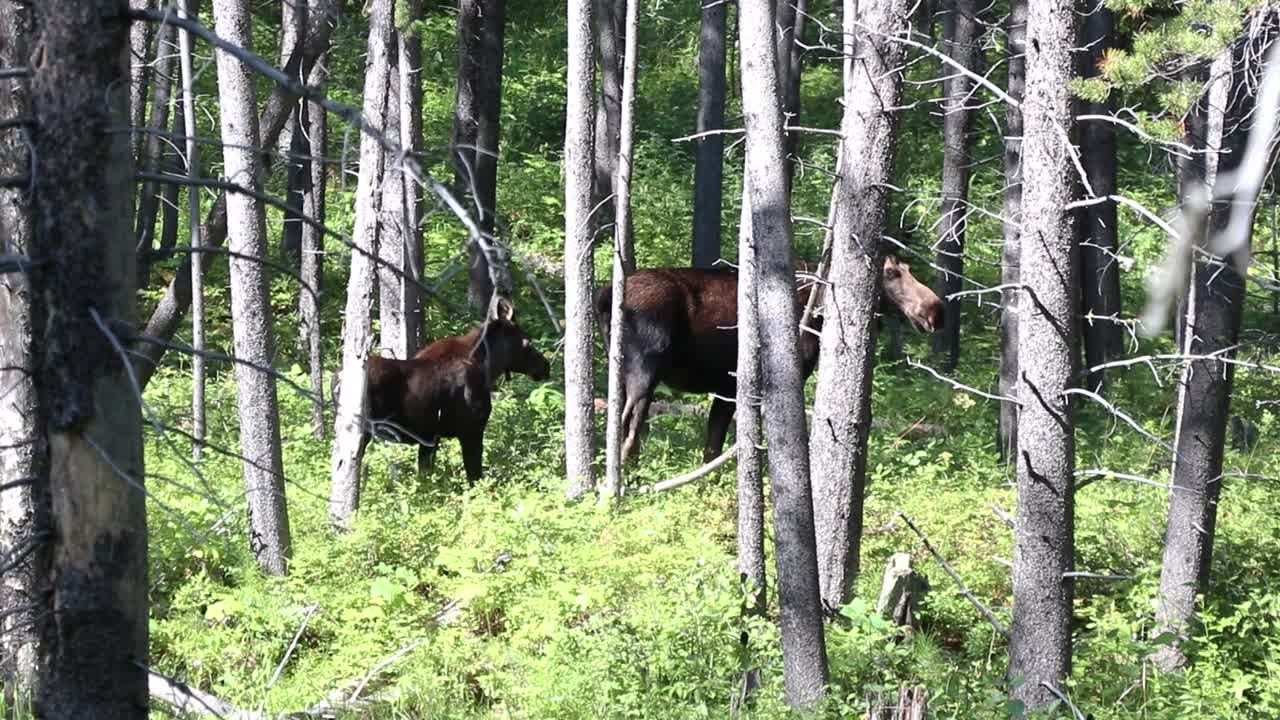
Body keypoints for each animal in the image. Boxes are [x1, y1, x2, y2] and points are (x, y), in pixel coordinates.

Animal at [359, 298, 551, 483]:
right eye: (527, 343)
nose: (545, 366)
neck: (488, 368)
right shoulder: (471, 429)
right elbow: (475, 478)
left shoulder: (430, 438)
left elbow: (424, 476)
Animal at [594, 254, 944, 464]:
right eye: (891, 272)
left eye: (908, 268)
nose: (934, 310)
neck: (817, 314)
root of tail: (603, 298)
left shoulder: (727, 388)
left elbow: (712, 447)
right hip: (644, 370)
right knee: (627, 424)